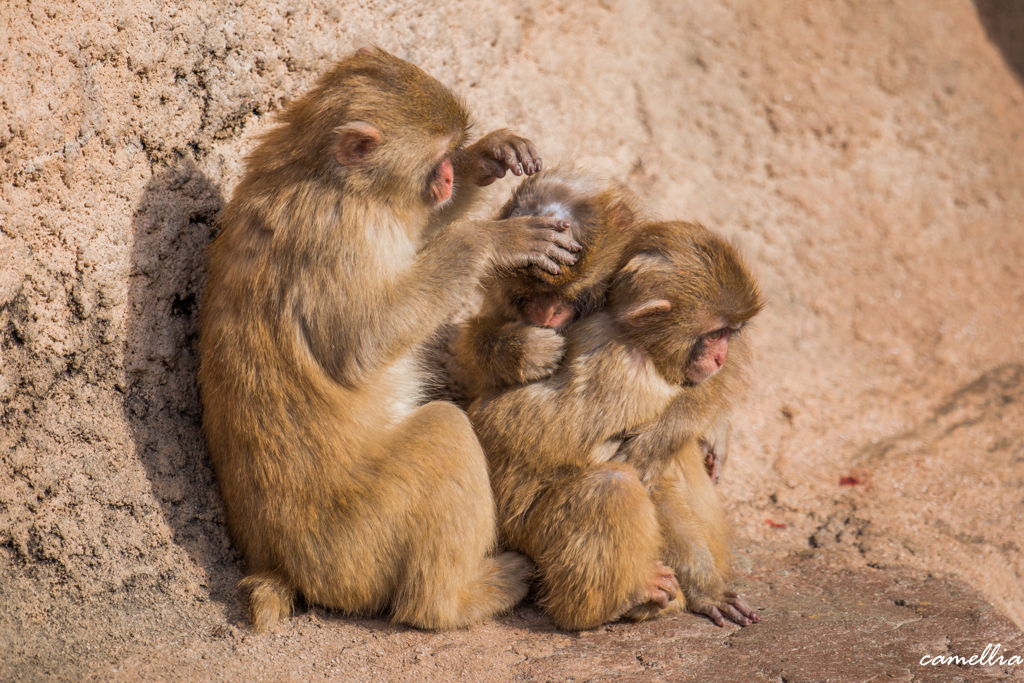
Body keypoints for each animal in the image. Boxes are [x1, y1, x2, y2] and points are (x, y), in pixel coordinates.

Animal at [197, 46, 585, 634]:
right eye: (437, 157)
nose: (448, 173)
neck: (330, 178)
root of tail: (280, 563)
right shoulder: (342, 234)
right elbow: (358, 347)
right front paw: (489, 239)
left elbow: (420, 232)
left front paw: (489, 155)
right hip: (357, 543)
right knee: (445, 432)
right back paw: (454, 601)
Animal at [466, 219, 761, 630]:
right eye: (715, 334)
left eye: (730, 334)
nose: (720, 356)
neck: (633, 337)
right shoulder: (634, 377)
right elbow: (649, 478)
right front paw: (706, 588)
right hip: (527, 536)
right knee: (613, 485)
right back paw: (609, 604)